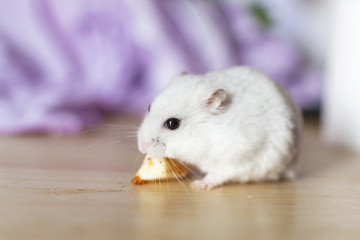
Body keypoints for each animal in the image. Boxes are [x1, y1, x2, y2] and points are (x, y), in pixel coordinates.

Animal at [137, 65, 300, 189]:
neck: (204, 133)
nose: (141, 148)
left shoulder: (238, 156)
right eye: (149, 107)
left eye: (172, 123)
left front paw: (197, 185)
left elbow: (218, 174)